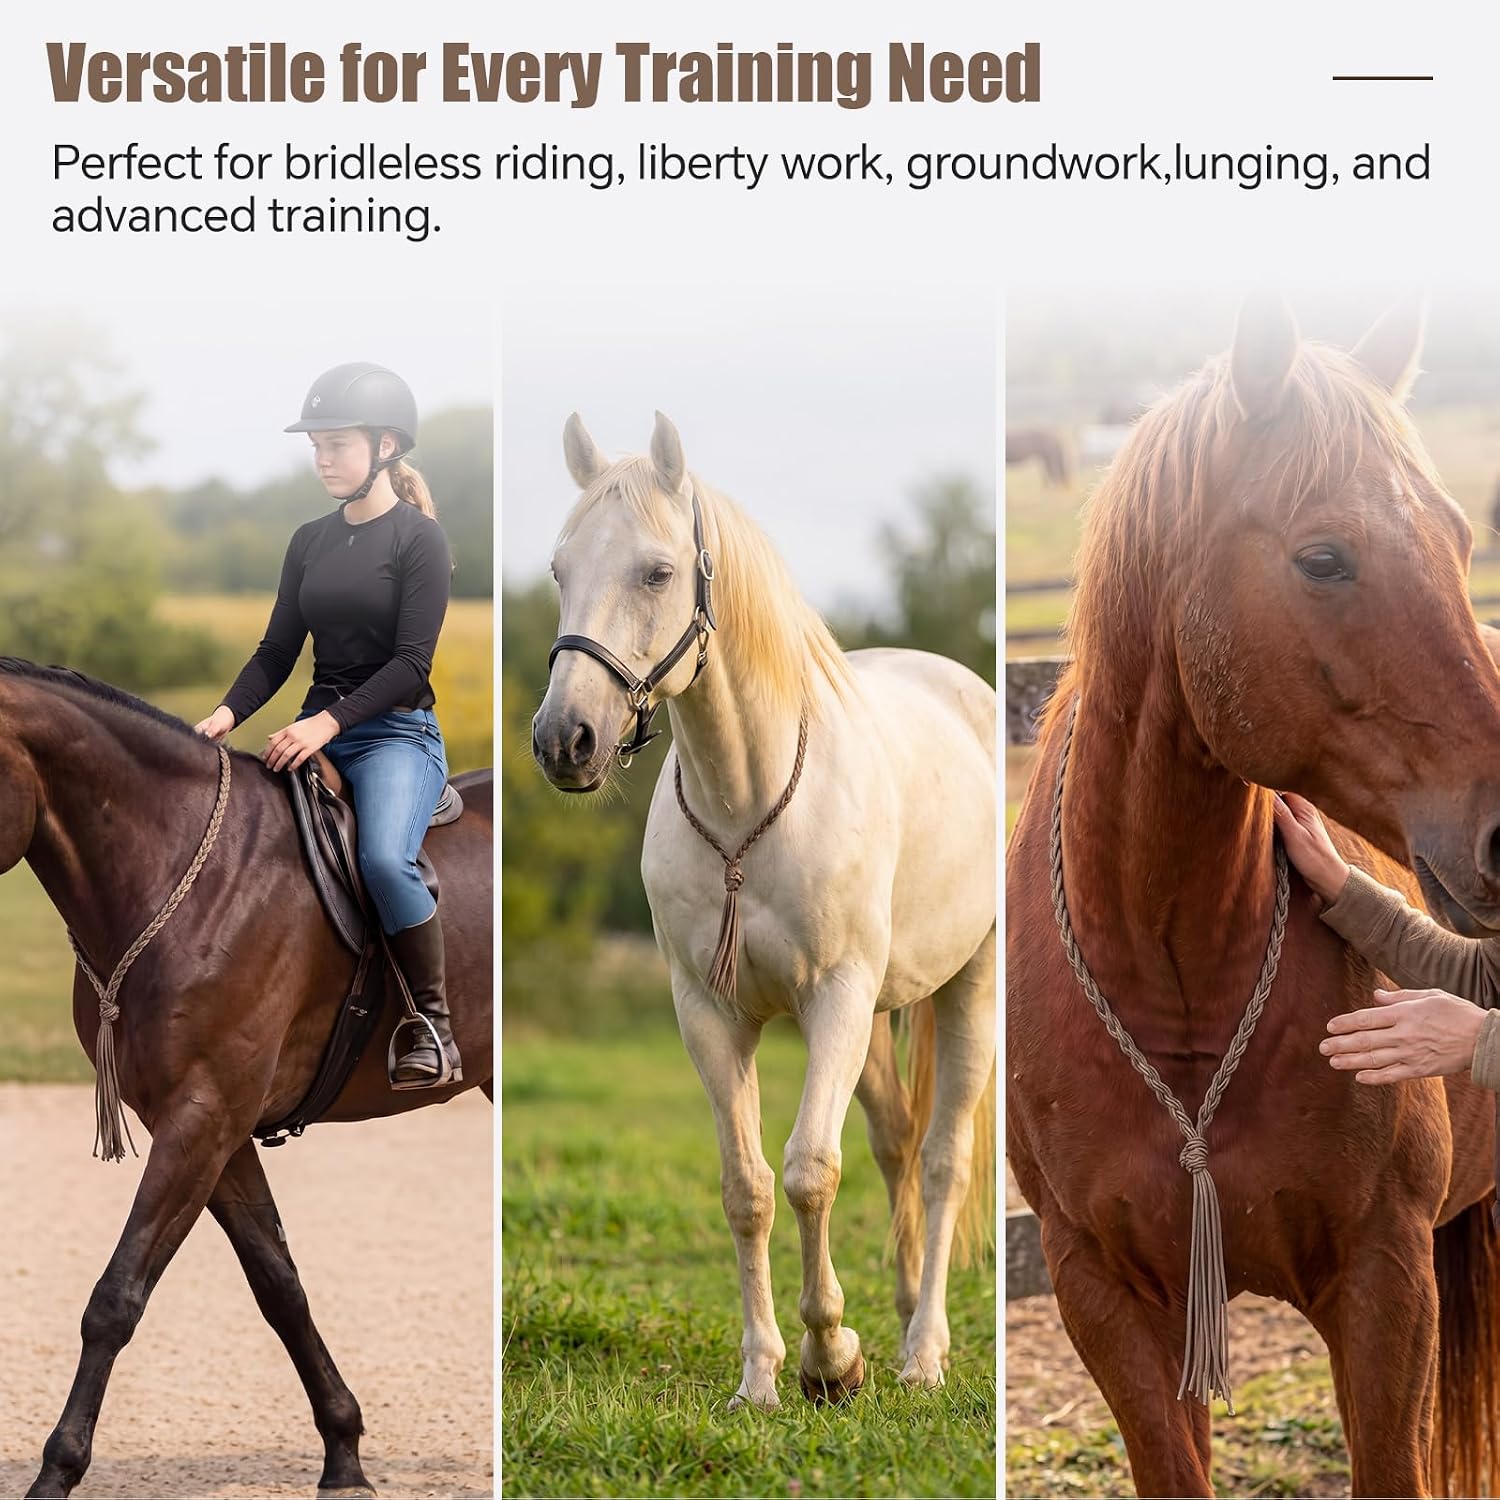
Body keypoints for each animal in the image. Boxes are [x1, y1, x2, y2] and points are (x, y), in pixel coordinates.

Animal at [1, 659, 493, 1498]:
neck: (181, 873)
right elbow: (279, 1286)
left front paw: (56, 1470)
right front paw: (344, 1452)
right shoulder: (212, 1129)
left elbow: (115, 1298)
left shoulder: (203, 1118)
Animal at [531, 412, 996, 1407]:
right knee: (898, 1145)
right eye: (558, 570)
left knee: (942, 1159)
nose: (565, 741)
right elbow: (745, 1187)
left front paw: (831, 1357)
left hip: (965, 990)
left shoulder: (836, 1000)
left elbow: (810, 1172)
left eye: (657, 572)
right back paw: (904, 1316)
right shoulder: (709, 1013)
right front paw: (762, 1376)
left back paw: (923, 1355)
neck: (750, 804)